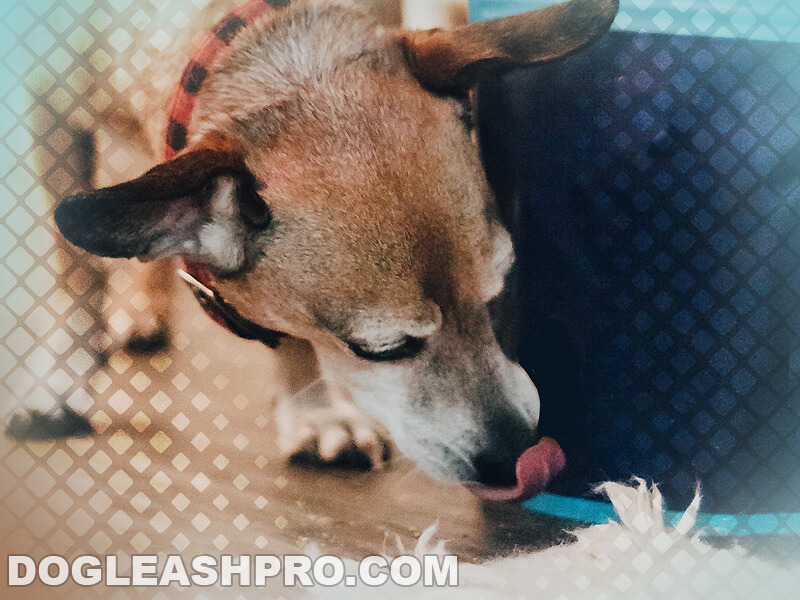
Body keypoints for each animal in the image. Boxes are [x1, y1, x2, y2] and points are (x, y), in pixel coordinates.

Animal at [51, 0, 620, 496]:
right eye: (381, 350)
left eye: (498, 295)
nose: (518, 455)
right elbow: (70, 270)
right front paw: (59, 386)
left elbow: (289, 330)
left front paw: (315, 410)